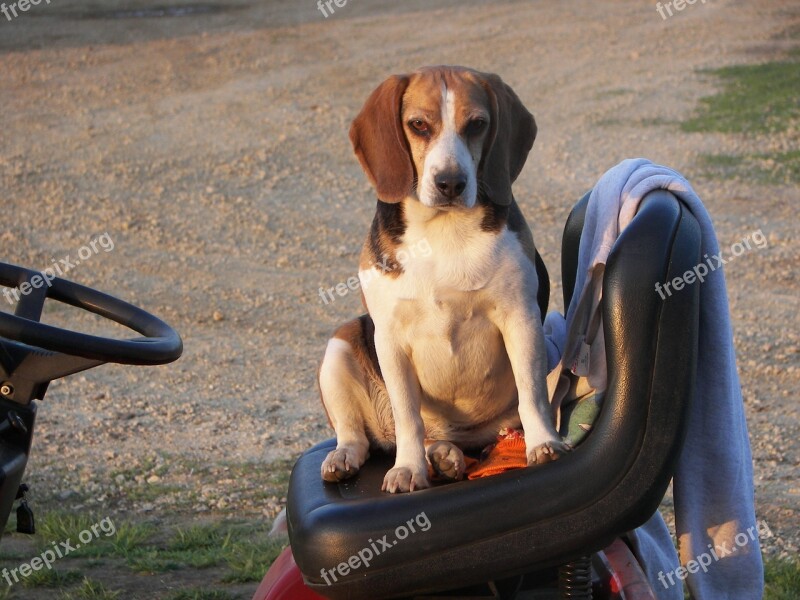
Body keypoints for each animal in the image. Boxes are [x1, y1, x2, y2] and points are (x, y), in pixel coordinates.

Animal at [318, 65, 568, 492]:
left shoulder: (521, 318)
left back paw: (447, 456)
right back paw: (352, 457)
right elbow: (408, 416)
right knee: (360, 436)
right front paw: (408, 469)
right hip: (339, 345)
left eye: (477, 124)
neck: (443, 230)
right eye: (418, 125)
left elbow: (530, 392)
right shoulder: (390, 340)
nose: (451, 182)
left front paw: (542, 444)